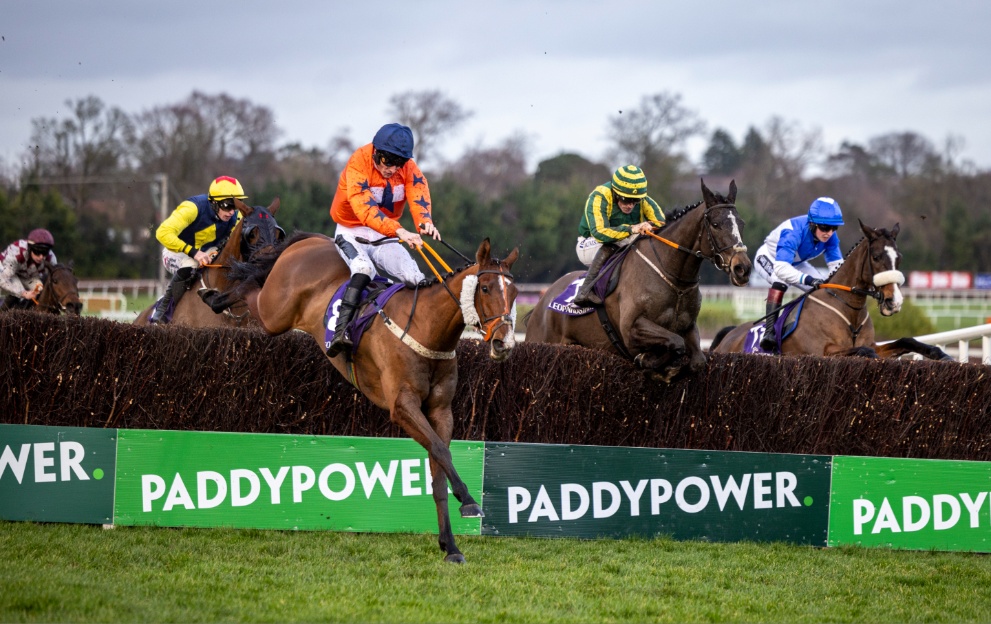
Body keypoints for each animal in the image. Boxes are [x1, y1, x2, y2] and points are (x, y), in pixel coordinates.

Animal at [206, 233, 524, 560]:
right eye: (485, 288)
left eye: (514, 293)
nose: (504, 343)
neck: (426, 329)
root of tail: (313, 239)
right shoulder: (402, 406)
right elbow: (441, 451)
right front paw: (470, 501)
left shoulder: (440, 411)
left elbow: (438, 470)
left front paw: (450, 546)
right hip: (274, 313)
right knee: (251, 288)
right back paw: (215, 297)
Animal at [528, 180, 752, 382]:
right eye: (715, 224)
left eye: (741, 224)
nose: (742, 268)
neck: (675, 279)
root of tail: (543, 300)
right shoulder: (631, 328)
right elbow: (675, 342)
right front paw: (650, 361)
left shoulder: (689, 326)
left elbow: (696, 359)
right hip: (543, 339)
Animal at [712, 219, 952, 358]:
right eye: (876, 257)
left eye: (898, 258)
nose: (894, 301)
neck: (850, 311)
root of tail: (730, 333)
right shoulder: (821, 353)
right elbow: (864, 351)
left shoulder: (876, 345)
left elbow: (903, 341)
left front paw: (938, 352)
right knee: (778, 282)